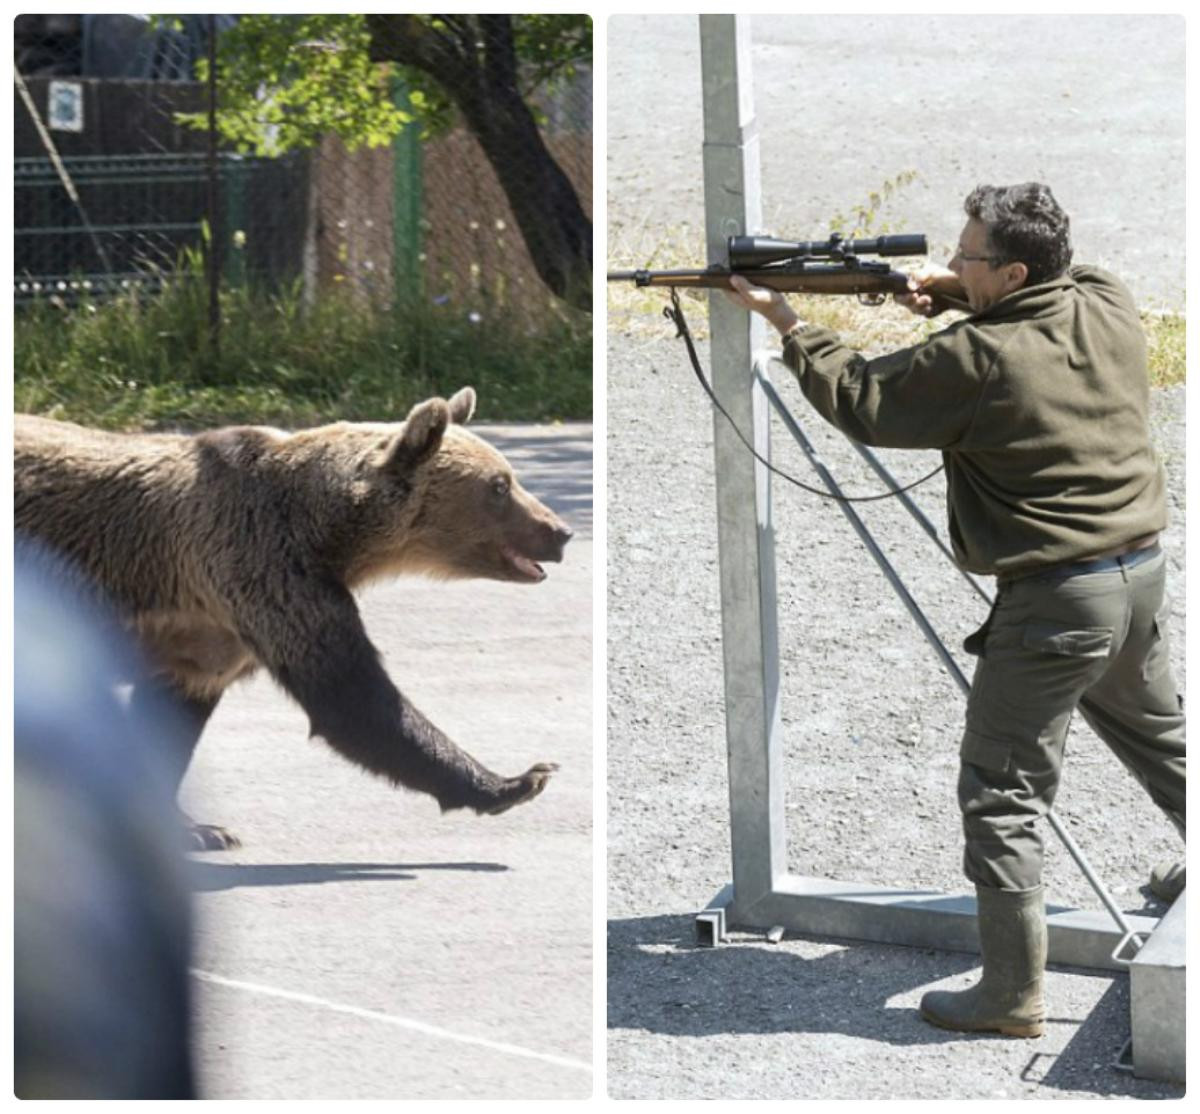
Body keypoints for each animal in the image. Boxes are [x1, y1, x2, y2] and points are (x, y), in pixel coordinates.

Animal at [15, 386, 571, 849]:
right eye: (499, 485)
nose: (560, 531)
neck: (333, 535)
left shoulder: (209, 631)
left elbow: (173, 714)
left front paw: (199, 830)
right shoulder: (265, 569)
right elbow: (350, 695)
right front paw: (518, 780)